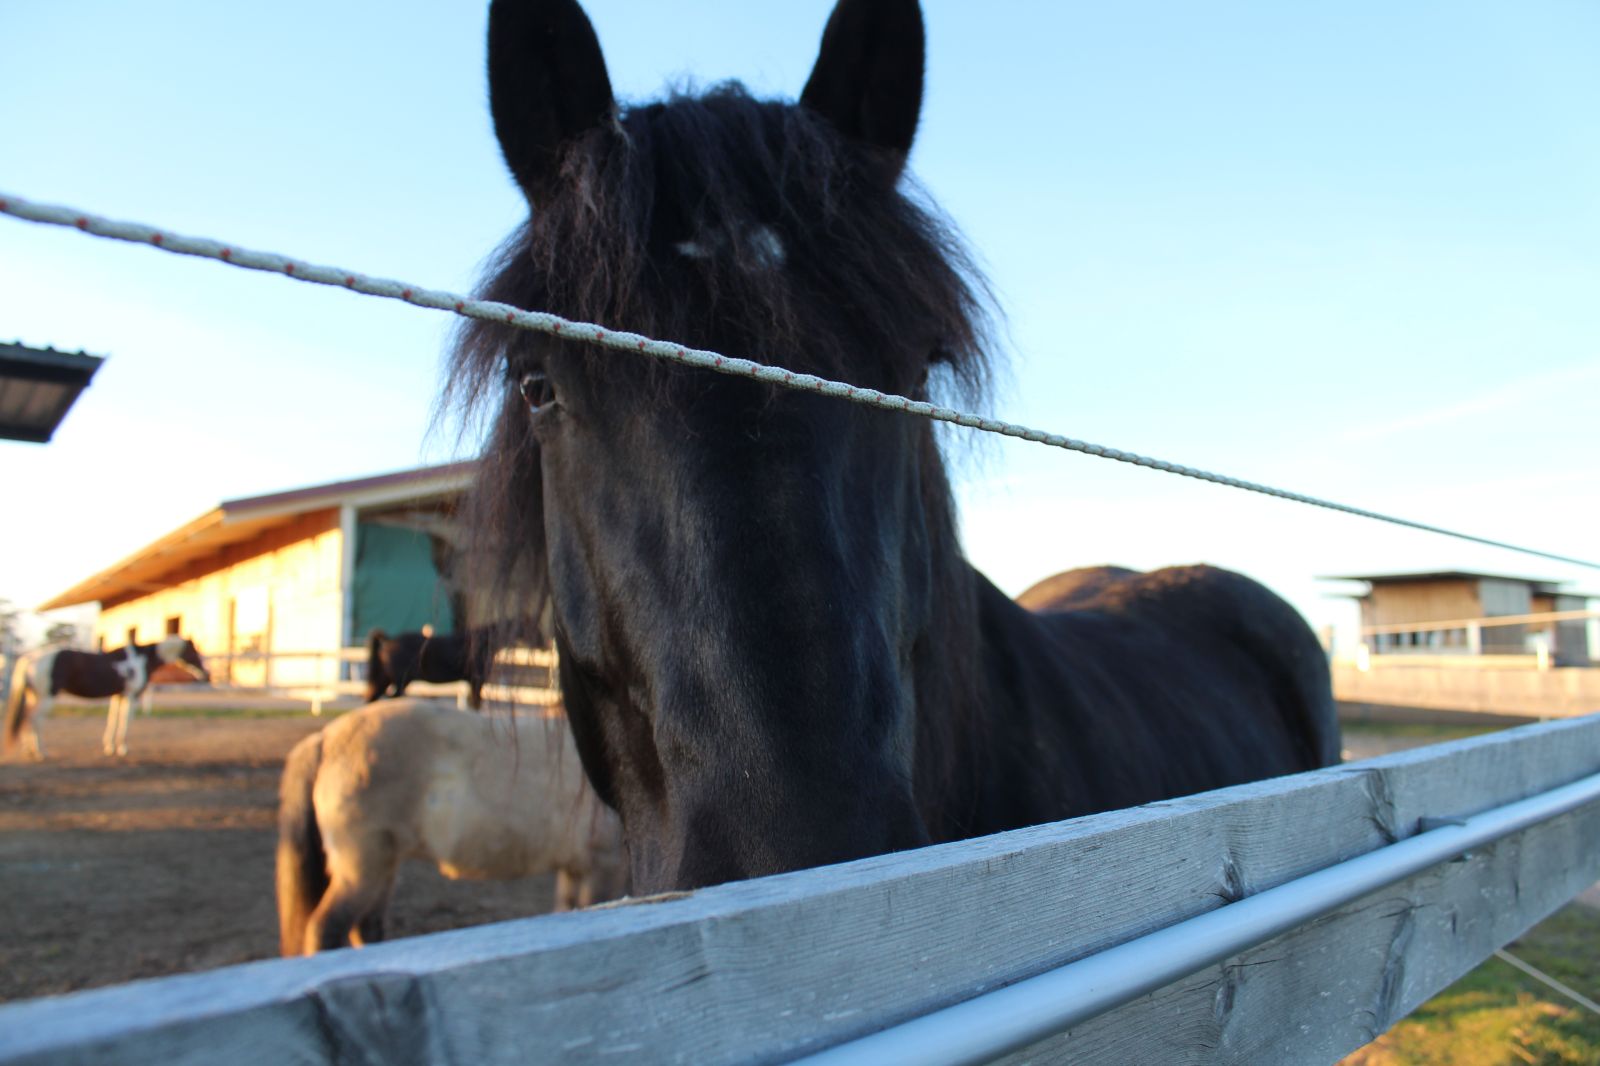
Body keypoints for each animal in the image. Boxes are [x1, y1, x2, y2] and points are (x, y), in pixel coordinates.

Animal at [3, 635, 209, 759]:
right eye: (194, 652)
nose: (206, 675)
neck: (141, 659)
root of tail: (29, 658)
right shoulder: (130, 696)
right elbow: (125, 722)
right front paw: (123, 748)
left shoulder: (118, 697)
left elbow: (113, 720)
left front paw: (109, 747)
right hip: (47, 697)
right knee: (35, 720)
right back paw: (41, 752)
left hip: (34, 697)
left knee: (27, 719)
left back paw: (29, 750)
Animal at [276, 697, 627, 956]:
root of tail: (326, 739)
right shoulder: (603, 867)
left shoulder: (575, 869)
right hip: (362, 866)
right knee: (327, 927)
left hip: (384, 865)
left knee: (367, 926)